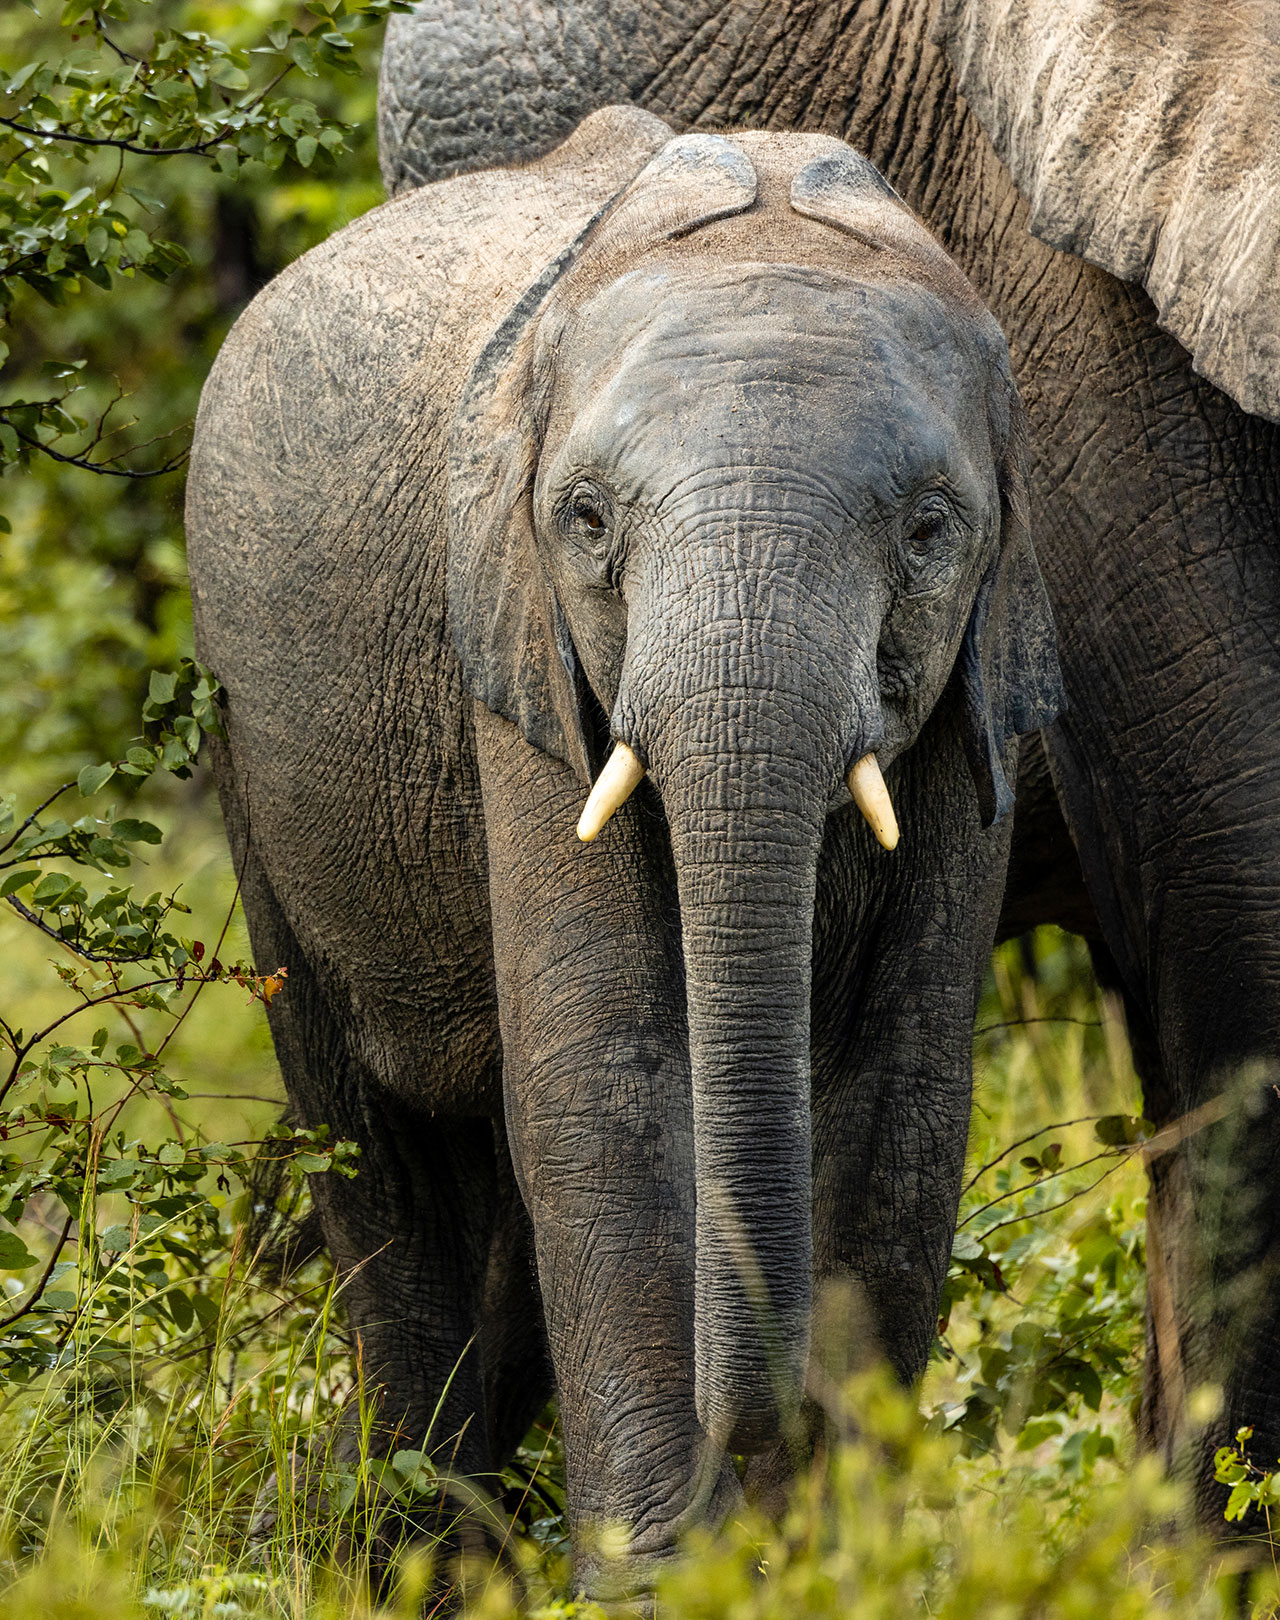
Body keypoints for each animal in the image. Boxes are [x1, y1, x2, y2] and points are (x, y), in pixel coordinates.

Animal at [185, 108, 1062, 1590]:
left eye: (930, 530)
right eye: (587, 522)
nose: (751, 1435)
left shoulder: (969, 699)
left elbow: (900, 1095)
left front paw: (830, 1574)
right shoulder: (515, 655)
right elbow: (607, 1078)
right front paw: (664, 1585)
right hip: (253, 752)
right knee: (376, 1159)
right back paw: (406, 1562)